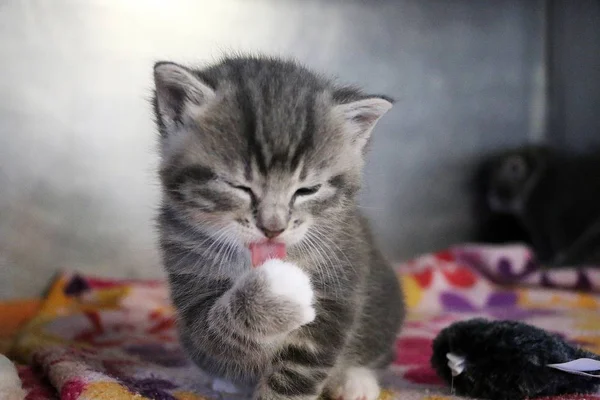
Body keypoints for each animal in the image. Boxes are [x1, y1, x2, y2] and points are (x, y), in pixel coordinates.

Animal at [152, 56, 406, 400]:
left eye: (307, 190)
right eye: (239, 187)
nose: (273, 228)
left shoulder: (340, 284)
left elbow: (301, 365)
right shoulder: (187, 273)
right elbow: (216, 333)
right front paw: (276, 290)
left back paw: (357, 381)